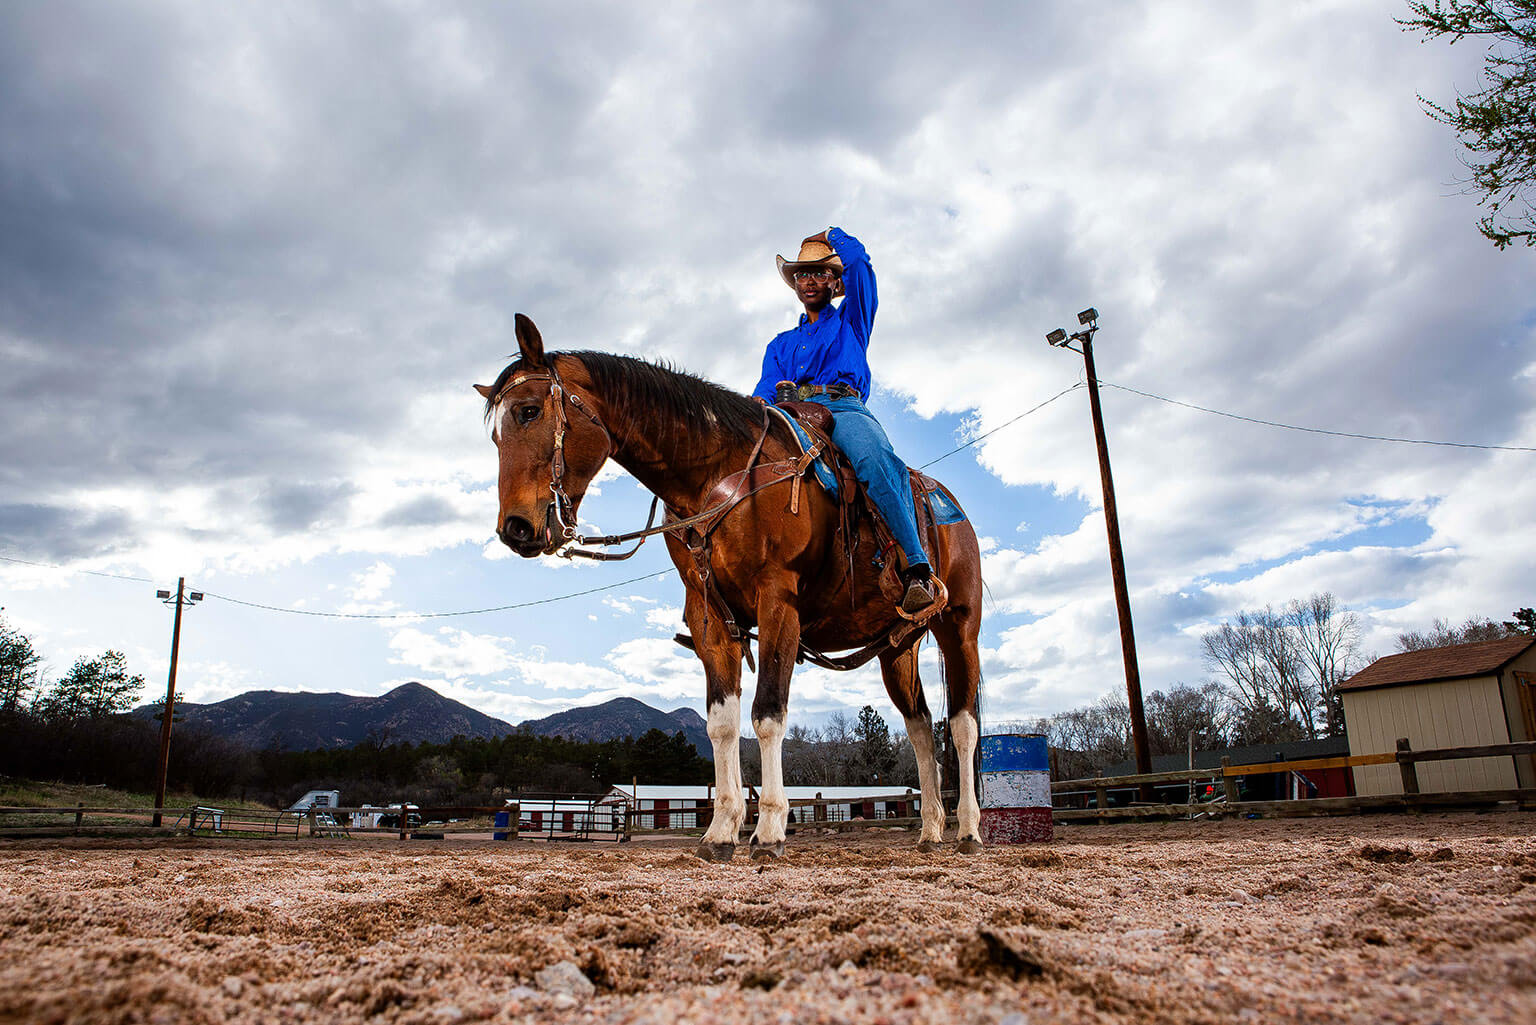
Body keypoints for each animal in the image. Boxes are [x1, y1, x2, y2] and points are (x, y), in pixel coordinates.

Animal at [479, 316, 983, 860]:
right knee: (920, 730)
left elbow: (767, 714)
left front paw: (770, 830)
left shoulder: (778, 602)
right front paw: (721, 831)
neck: (720, 473)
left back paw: (969, 830)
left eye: (529, 411)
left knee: (962, 725)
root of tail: (954, 510)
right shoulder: (709, 617)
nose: (515, 529)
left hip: (960, 629)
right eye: (495, 435)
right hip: (898, 647)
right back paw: (930, 830)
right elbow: (721, 723)